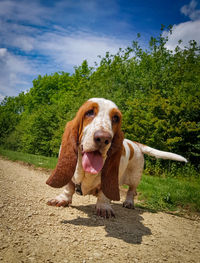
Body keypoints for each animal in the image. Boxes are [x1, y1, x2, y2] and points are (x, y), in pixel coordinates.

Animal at [46, 99, 187, 219]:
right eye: (89, 112)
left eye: (115, 118)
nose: (103, 138)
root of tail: (136, 144)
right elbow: (68, 187)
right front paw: (62, 199)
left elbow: (104, 193)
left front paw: (104, 208)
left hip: (135, 177)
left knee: (132, 191)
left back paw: (129, 203)